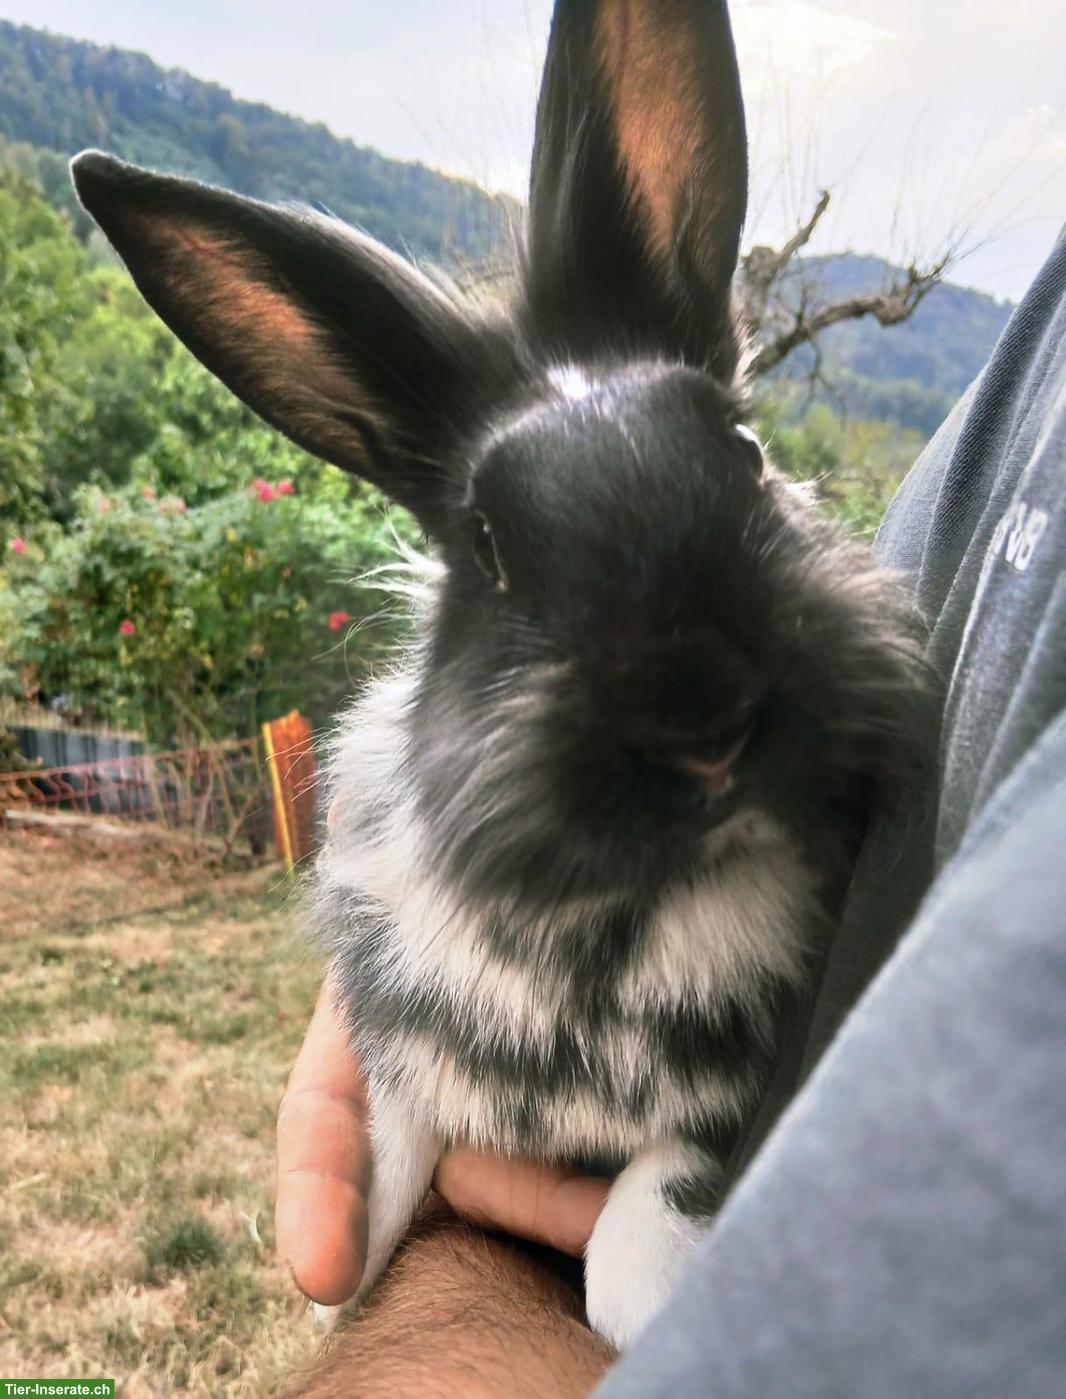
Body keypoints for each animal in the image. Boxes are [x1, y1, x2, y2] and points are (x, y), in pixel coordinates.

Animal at [71, 0, 927, 1349]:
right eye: (487, 549)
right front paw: (335, 1289)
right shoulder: (400, 1055)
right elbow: (377, 1188)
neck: (613, 923)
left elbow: (642, 1227)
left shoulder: (734, 1096)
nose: (707, 730)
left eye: (743, 454)